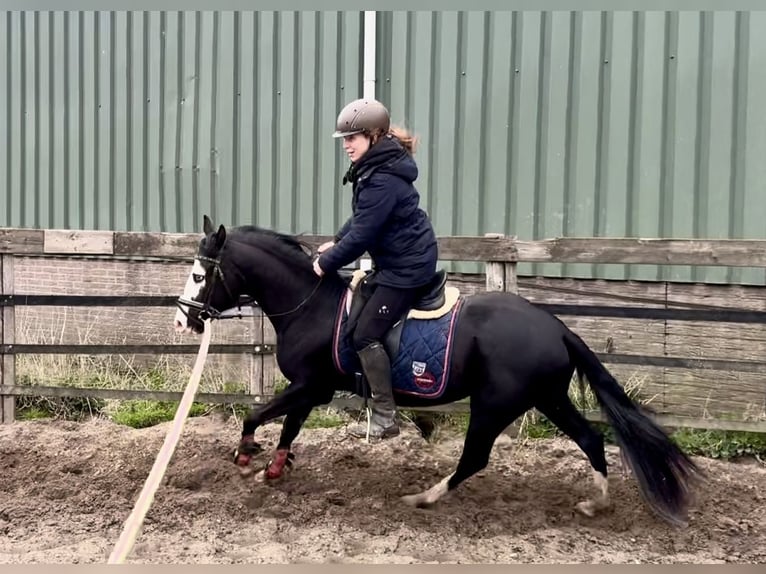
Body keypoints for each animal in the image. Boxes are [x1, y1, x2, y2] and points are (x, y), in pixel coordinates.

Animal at [173, 215, 703, 526]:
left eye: (200, 274)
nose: (183, 320)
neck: (311, 306)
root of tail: (555, 327)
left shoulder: (309, 385)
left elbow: (257, 415)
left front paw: (247, 455)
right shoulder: (312, 389)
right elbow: (288, 426)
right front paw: (275, 467)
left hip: (495, 405)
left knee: (475, 458)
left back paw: (423, 499)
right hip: (548, 398)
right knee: (591, 440)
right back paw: (596, 502)